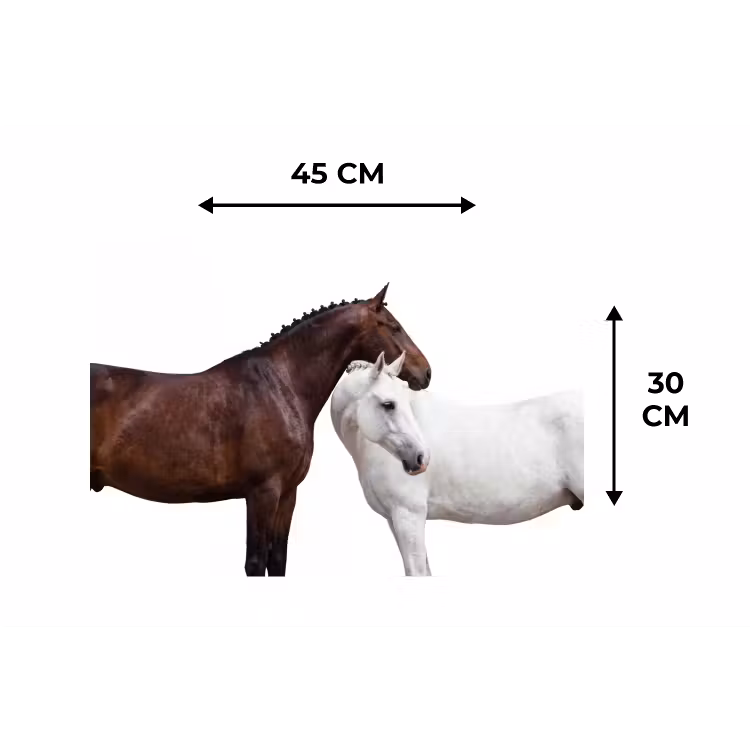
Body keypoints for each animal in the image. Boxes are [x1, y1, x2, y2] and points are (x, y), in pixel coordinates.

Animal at [90, 284, 431, 576]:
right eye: (394, 327)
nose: (426, 372)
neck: (280, 385)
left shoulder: (288, 494)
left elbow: (277, 559)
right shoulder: (262, 492)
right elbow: (255, 562)